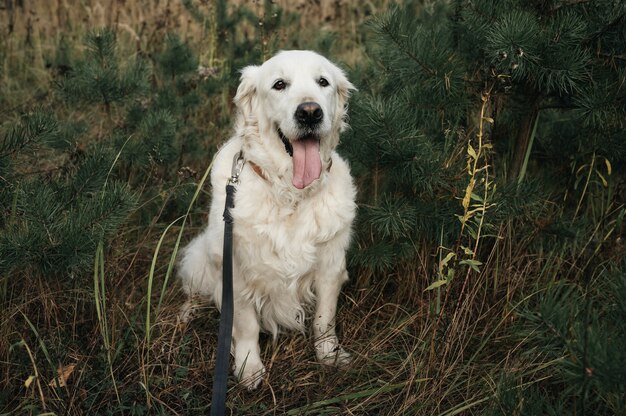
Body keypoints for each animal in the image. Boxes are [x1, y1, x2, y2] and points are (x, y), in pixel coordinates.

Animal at [178, 49, 356, 390]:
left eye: (323, 82)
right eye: (279, 84)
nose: (310, 113)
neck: (289, 193)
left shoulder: (330, 264)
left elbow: (324, 318)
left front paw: (329, 355)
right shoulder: (236, 271)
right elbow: (245, 325)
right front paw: (249, 367)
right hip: (201, 256)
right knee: (195, 290)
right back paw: (187, 313)